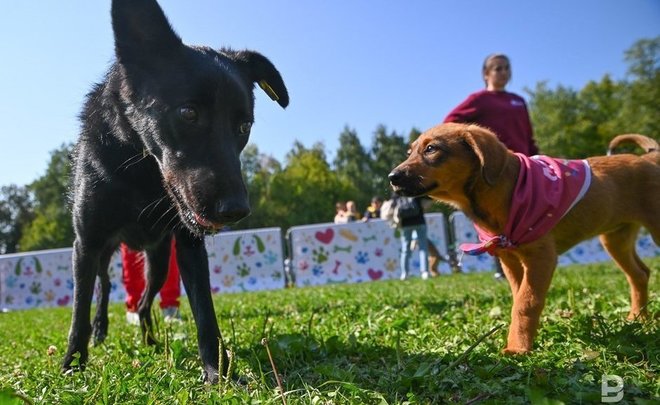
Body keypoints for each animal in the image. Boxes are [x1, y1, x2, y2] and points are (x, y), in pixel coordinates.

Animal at [62, 0, 286, 382]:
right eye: (188, 112)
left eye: (244, 126)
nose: (236, 210)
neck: (141, 171)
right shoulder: (86, 242)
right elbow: (79, 310)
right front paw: (73, 364)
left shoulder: (189, 245)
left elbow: (205, 313)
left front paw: (217, 374)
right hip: (104, 252)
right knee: (104, 287)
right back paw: (102, 329)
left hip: (159, 262)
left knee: (144, 302)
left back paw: (150, 340)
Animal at [390, 123, 656, 354]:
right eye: (410, 152)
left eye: (431, 149)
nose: (392, 177)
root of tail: (651, 158)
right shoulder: (510, 259)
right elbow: (519, 298)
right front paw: (520, 340)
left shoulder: (541, 257)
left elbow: (526, 303)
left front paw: (518, 348)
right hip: (615, 239)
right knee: (640, 274)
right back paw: (638, 319)